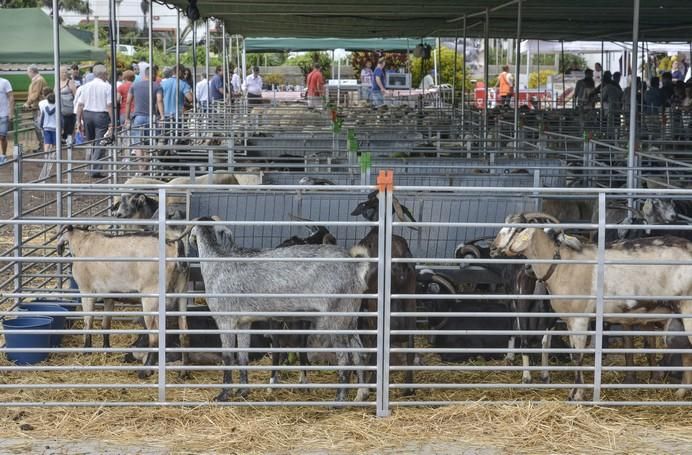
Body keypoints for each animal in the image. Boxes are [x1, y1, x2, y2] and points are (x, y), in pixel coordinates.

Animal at [57, 224, 189, 378]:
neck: (83, 243)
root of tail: (174, 244)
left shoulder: (86, 291)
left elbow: (88, 323)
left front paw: (86, 351)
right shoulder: (108, 296)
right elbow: (105, 324)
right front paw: (106, 349)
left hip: (151, 296)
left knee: (155, 336)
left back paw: (145, 370)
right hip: (182, 292)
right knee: (184, 332)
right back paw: (184, 372)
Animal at [189, 221, 374, 402]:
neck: (216, 262)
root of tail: (356, 268)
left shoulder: (225, 320)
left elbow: (227, 358)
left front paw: (223, 395)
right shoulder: (244, 322)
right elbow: (242, 355)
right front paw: (243, 391)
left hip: (336, 317)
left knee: (345, 358)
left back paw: (339, 399)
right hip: (350, 315)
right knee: (360, 353)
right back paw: (361, 394)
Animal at [492, 212, 692, 400]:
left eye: (518, 228)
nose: (493, 248)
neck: (561, 264)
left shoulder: (580, 318)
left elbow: (578, 356)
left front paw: (577, 396)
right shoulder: (569, 320)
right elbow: (574, 354)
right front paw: (574, 393)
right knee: (686, 352)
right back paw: (680, 393)